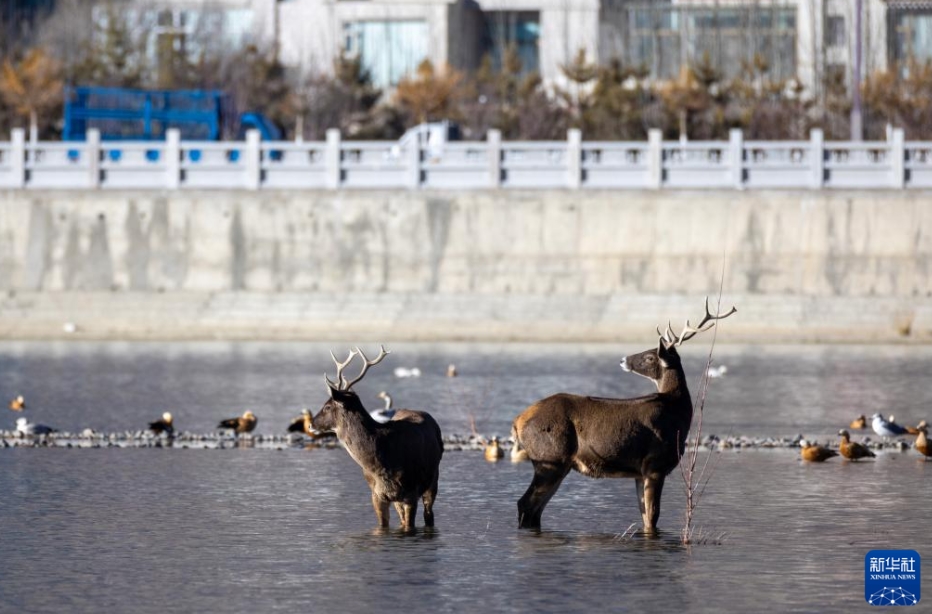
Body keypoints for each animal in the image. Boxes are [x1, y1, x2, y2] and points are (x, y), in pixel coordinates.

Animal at [312, 348, 446, 532]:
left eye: (327, 406)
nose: (311, 423)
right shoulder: (376, 494)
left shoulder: (411, 492)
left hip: (433, 478)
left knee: (429, 514)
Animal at [510, 298, 736, 536]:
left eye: (650, 356)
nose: (623, 360)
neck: (677, 413)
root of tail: (518, 421)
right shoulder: (655, 464)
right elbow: (653, 517)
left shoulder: (640, 472)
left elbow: (646, 517)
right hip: (550, 459)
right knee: (525, 504)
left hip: (557, 464)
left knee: (535, 509)